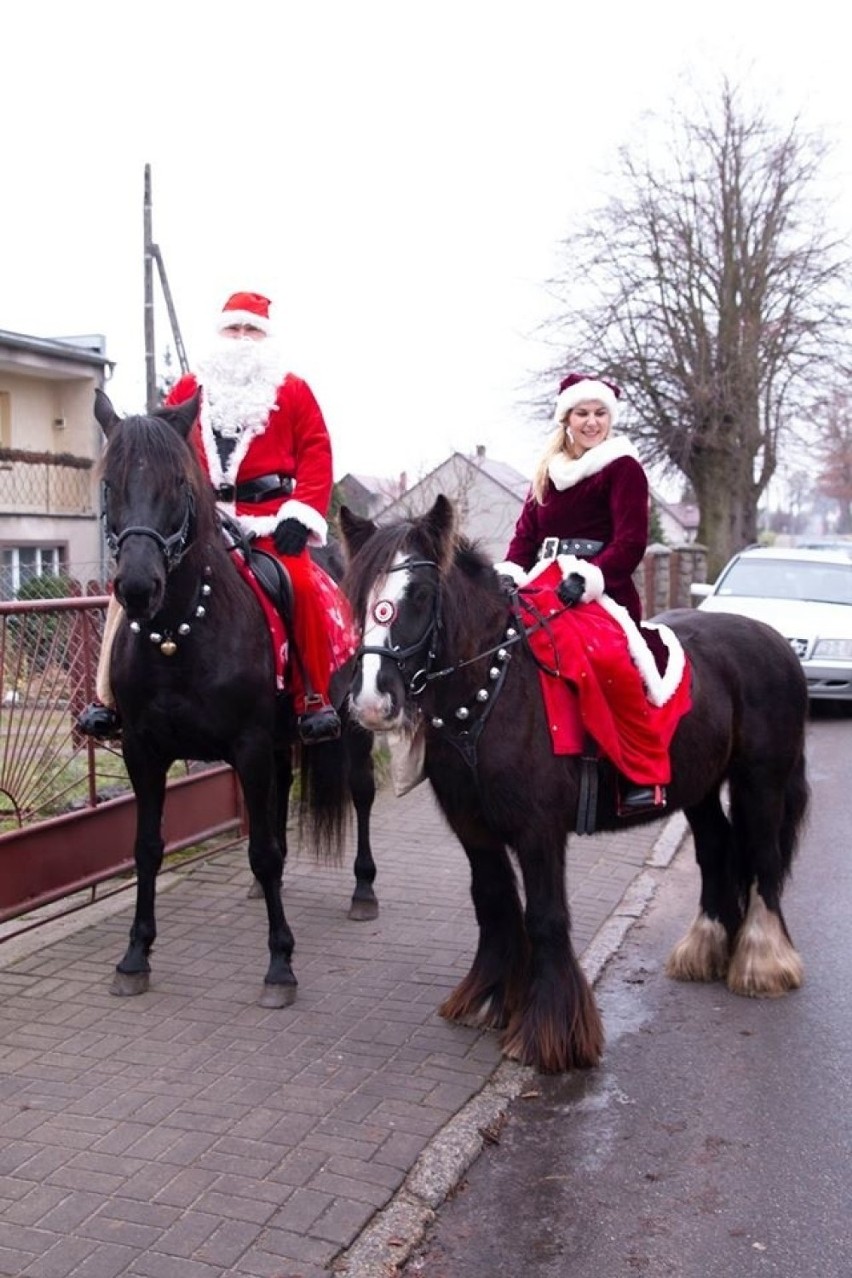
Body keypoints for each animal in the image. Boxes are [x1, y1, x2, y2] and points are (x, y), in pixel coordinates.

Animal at [92, 388, 372, 1007]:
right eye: (109, 483)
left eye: (178, 482)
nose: (137, 586)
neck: (178, 632)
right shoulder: (142, 751)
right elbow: (147, 847)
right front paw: (133, 956)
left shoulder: (247, 746)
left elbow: (261, 849)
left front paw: (280, 964)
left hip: (353, 725)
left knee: (362, 794)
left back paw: (364, 890)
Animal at [337, 493, 807, 1073]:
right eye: (359, 597)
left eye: (420, 594)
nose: (371, 701)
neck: (493, 688)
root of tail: (775, 641)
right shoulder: (475, 830)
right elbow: (492, 902)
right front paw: (490, 999)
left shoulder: (539, 832)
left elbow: (544, 917)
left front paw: (550, 1033)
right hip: (698, 786)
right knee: (717, 848)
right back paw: (705, 947)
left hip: (760, 783)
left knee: (763, 858)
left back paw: (762, 962)